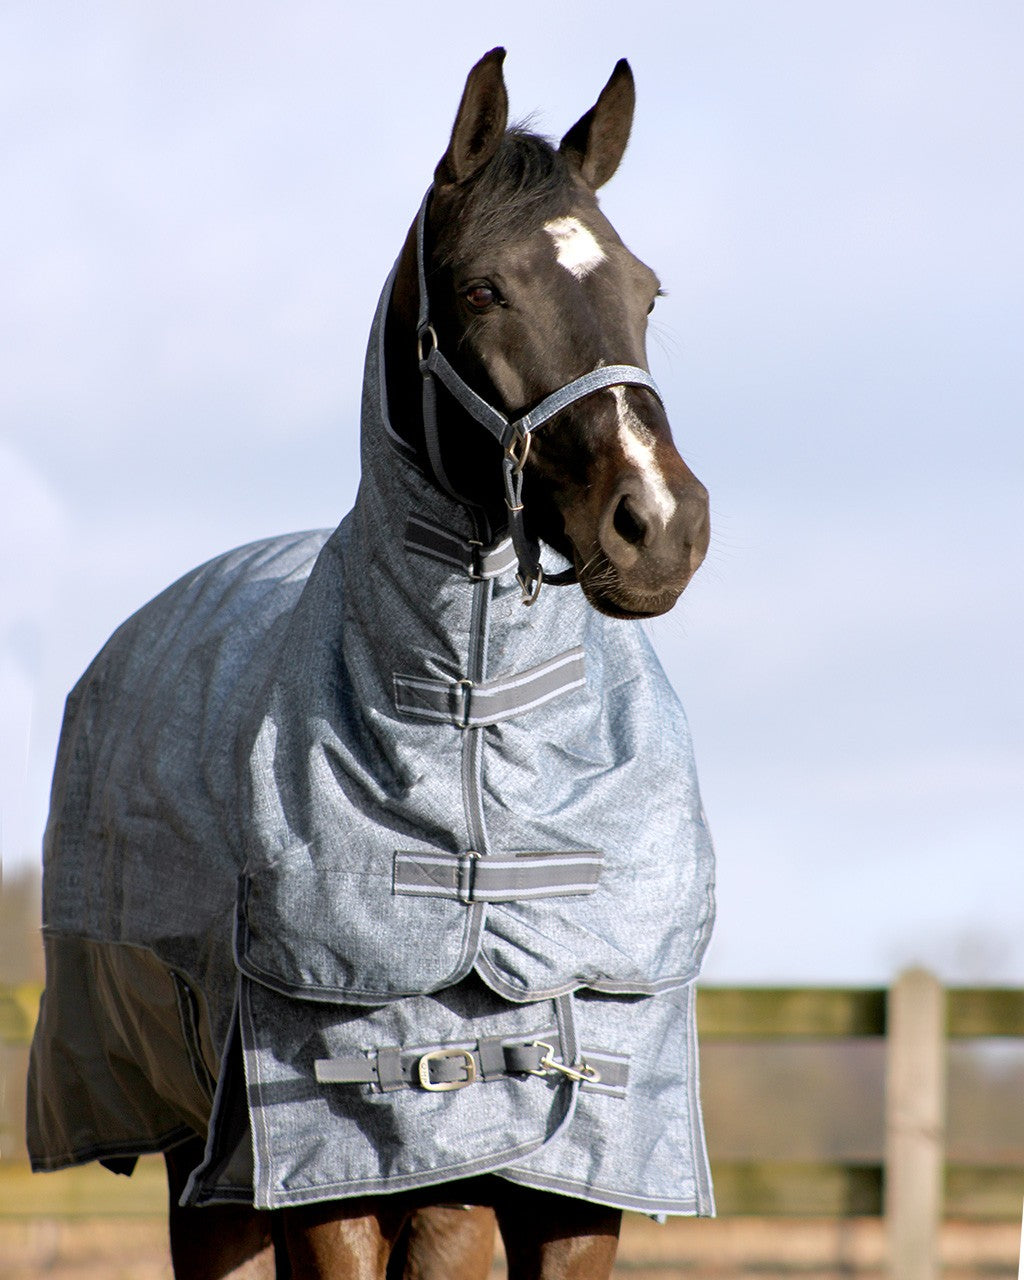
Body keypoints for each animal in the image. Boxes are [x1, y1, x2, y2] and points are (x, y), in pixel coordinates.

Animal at [28, 49, 716, 1279]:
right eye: (485, 291)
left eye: (646, 292)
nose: (662, 526)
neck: (477, 720)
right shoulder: (337, 1178)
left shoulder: (575, 1182)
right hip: (210, 1173)